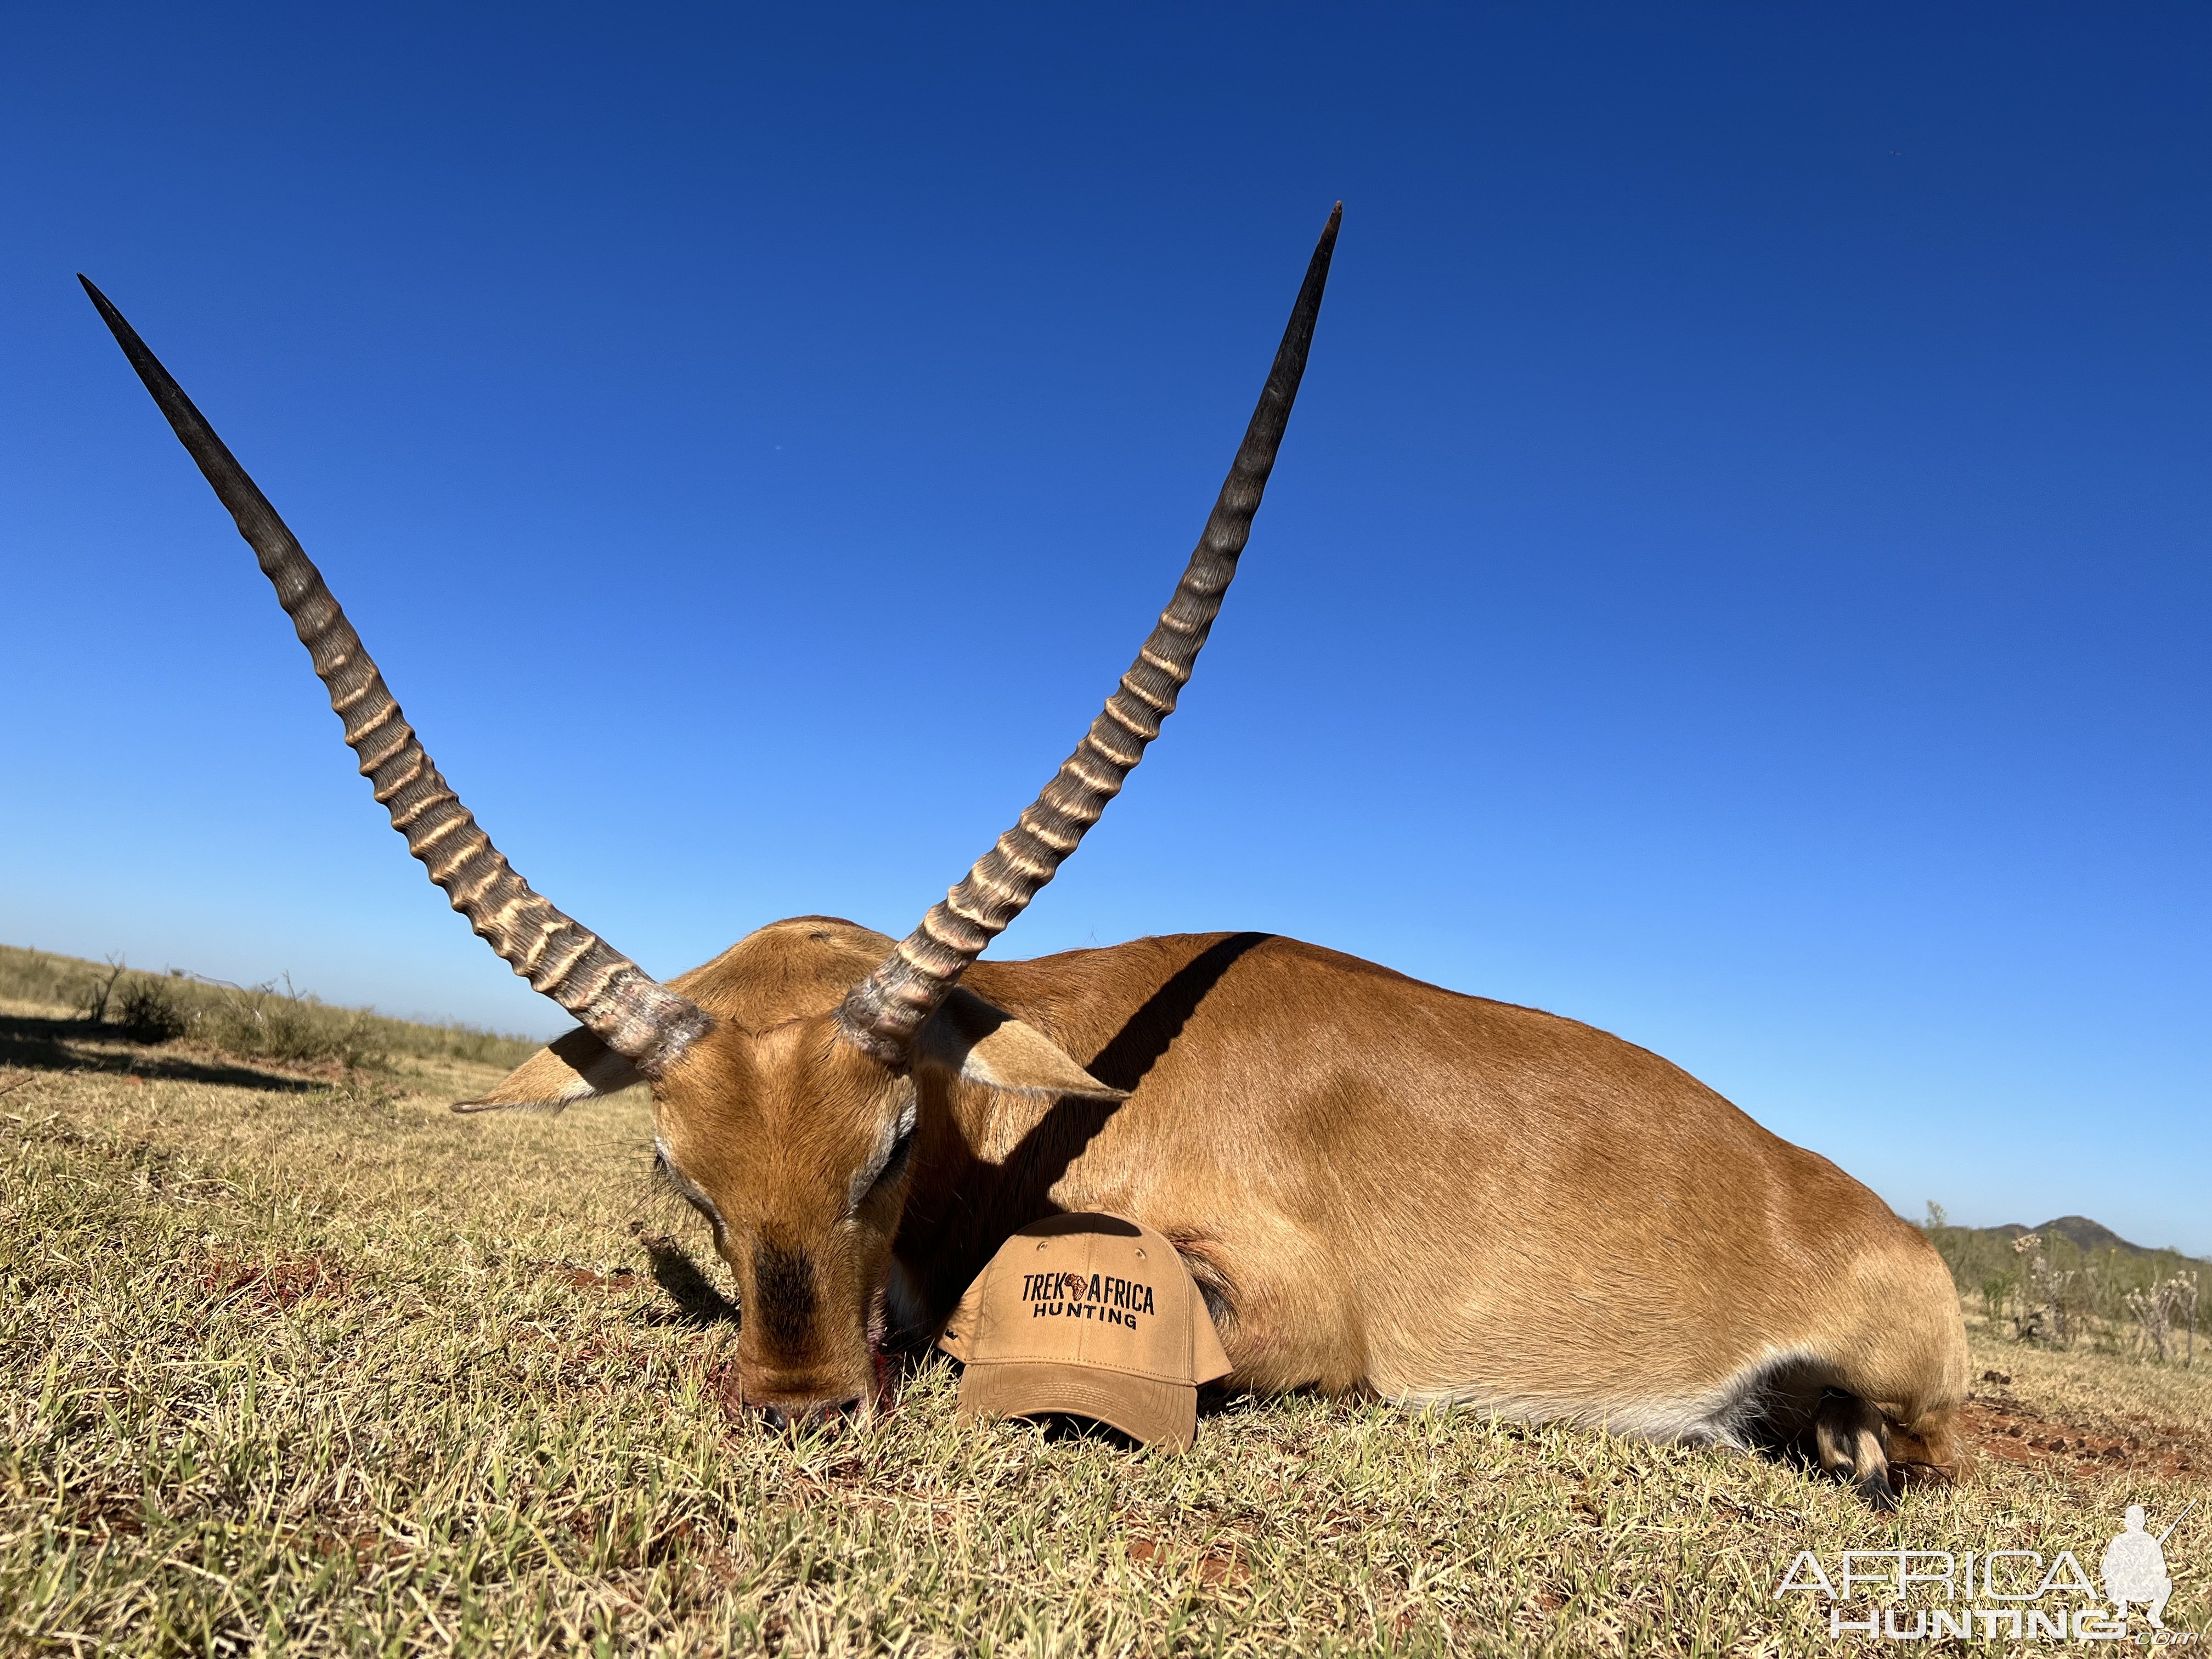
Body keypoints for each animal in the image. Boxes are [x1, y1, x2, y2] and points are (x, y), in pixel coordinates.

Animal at [82, 208, 1973, 1504]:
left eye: (892, 1143)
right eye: (685, 1176)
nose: (795, 1416)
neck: (1057, 1080)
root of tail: (1873, 1213)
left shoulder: (1284, 1322)